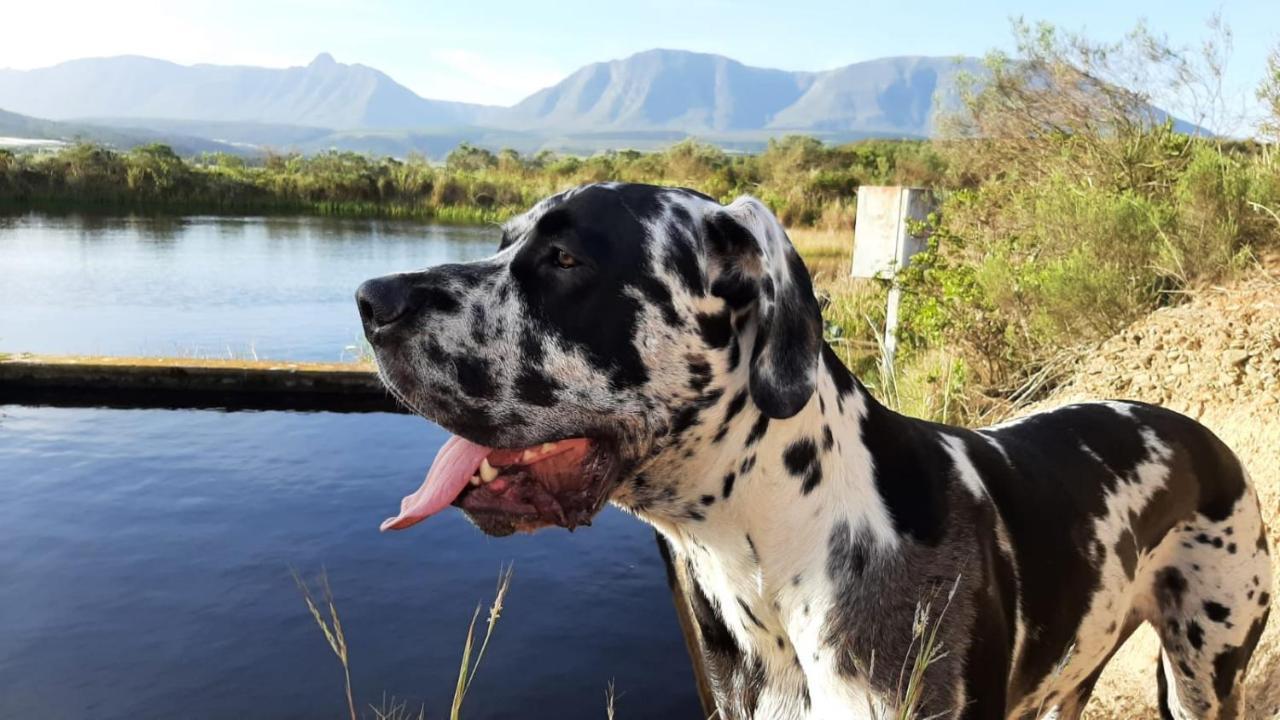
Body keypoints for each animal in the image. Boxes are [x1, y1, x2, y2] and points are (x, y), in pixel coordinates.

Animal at [358, 183, 1269, 717]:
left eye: (564, 255)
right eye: (505, 241)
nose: (371, 298)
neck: (768, 555)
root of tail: (1204, 437)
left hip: (1204, 675)